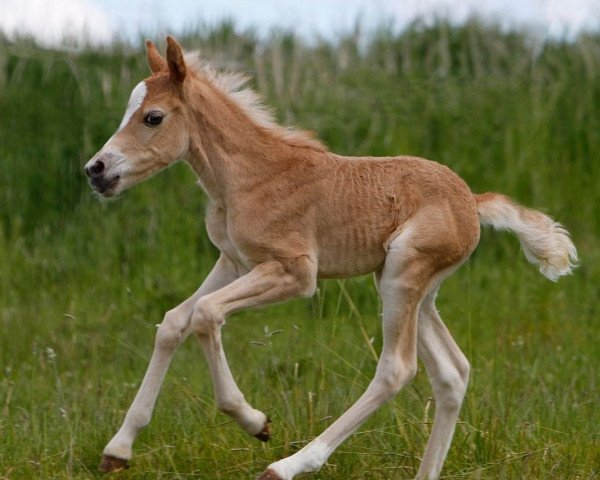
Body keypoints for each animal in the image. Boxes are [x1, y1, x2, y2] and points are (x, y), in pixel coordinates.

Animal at [84, 35, 576, 478]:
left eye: (153, 117)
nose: (96, 170)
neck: (249, 176)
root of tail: (472, 202)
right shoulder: (234, 262)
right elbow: (173, 322)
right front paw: (118, 449)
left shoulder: (295, 271)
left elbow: (205, 314)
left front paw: (255, 422)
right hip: (410, 287)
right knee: (452, 373)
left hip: (403, 275)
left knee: (397, 369)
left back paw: (287, 465)